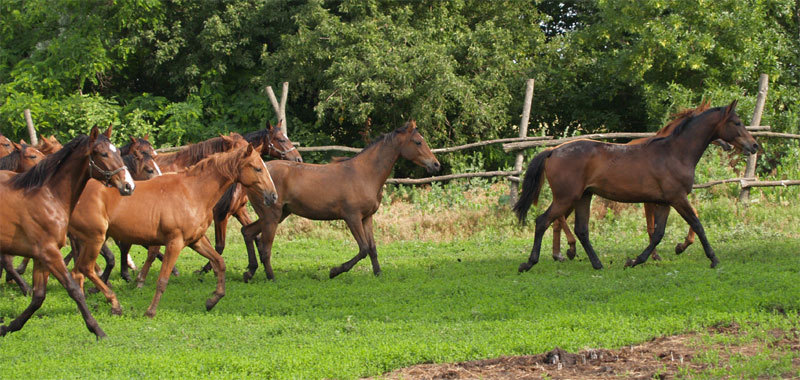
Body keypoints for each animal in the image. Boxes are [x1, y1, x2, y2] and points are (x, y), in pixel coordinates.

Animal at [0, 126, 134, 336]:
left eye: (119, 153)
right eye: (103, 153)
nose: (129, 186)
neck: (48, 197)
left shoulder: (42, 256)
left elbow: (39, 297)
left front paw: (10, 326)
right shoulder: (50, 253)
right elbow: (74, 289)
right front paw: (98, 330)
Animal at [69, 144, 282, 316]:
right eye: (257, 168)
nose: (273, 196)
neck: (192, 192)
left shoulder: (196, 241)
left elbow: (219, 262)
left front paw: (212, 300)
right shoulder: (174, 243)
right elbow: (163, 279)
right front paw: (150, 311)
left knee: (76, 272)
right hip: (94, 240)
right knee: (85, 268)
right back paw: (113, 304)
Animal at [234, 119, 440, 282]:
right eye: (418, 142)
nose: (436, 164)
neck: (365, 173)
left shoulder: (367, 218)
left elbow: (372, 248)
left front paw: (378, 274)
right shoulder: (352, 217)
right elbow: (363, 248)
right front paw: (334, 271)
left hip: (278, 215)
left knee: (248, 232)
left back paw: (249, 273)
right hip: (272, 216)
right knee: (265, 248)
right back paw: (271, 278)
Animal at [516, 100, 760, 274]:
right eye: (737, 123)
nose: (754, 145)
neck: (675, 152)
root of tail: (553, 151)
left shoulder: (664, 202)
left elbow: (658, 233)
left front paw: (635, 261)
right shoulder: (677, 198)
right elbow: (697, 225)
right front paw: (713, 259)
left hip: (584, 197)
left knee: (581, 230)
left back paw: (597, 264)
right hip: (566, 198)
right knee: (543, 221)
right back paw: (529, 263)